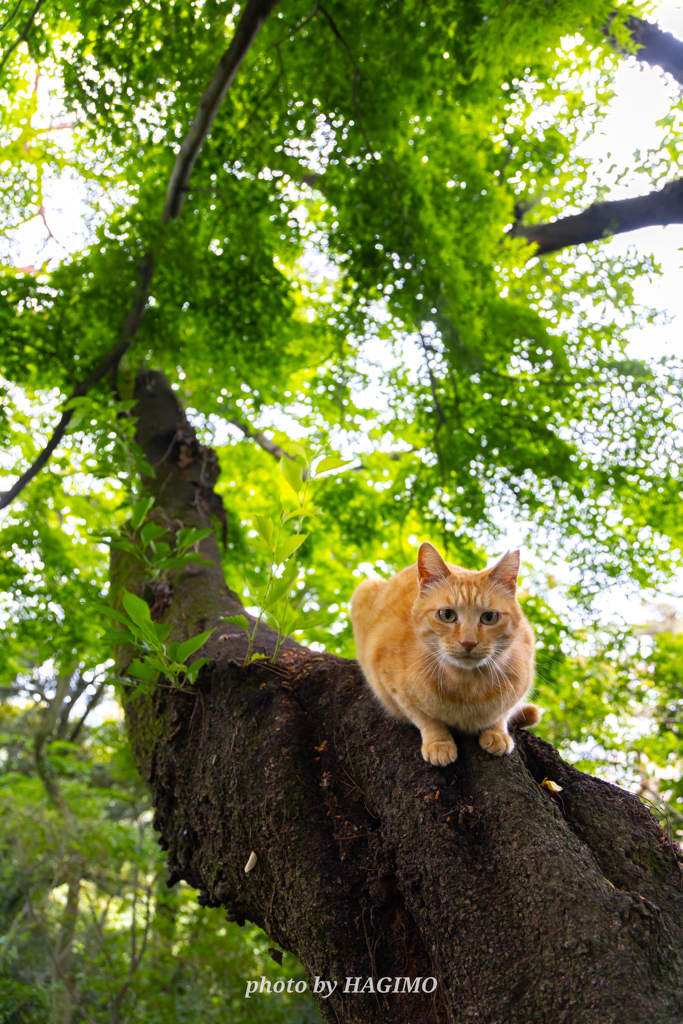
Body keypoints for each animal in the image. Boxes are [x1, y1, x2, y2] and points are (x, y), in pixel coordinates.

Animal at [352, 544, 540, 770]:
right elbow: (424, 717)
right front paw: (439, 742)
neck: (468, 687)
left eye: (489, 617)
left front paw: (497, 732)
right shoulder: (390, 682)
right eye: (447, 615)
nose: (468, 642)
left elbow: (503, 713)